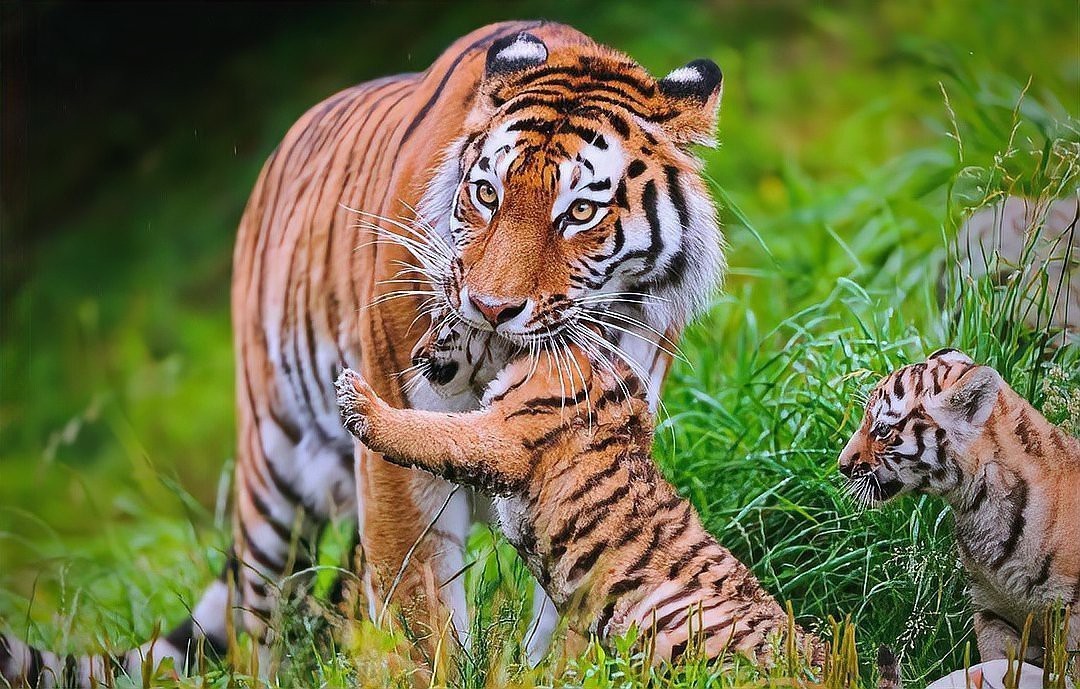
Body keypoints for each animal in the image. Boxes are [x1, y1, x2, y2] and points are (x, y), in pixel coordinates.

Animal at [1, 21, 726, 687]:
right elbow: (419, 614)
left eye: (579, 212)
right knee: (262, 623)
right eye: (487, 194)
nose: (490, 306)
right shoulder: (399, 464)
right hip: (273, 476)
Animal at [334, 315, 824, 668]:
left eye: (442, 321)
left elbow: (431, 431)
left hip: (669, 618)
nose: (416, 353)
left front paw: (358, 399)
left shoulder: (502, 438)